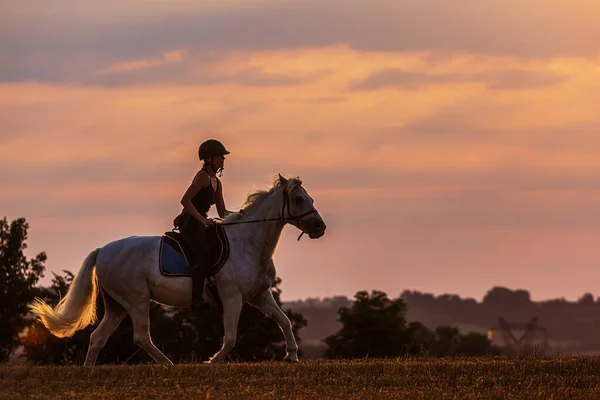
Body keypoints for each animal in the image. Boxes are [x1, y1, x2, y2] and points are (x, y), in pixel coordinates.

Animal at [29, 175, 326, 366]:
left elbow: (284, 321)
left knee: (98, 338)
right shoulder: (233, 298)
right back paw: (169, 364)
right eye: (299, 199)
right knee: (141, 337)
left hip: (117, 305)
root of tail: (103, 250)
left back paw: (90, 370)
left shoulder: (259, 296)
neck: (249, 242)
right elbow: (231, 337)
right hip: (136, 300)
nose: (320, 227)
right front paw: (212, 362)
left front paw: (292, 356)